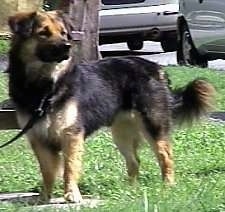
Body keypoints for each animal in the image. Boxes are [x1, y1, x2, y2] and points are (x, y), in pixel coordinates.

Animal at [7, 10, 214, 203]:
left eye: (63, 33)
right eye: (43, 33)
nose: (67, 46)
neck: (44, 86)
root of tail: (156, 68)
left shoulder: (70, 134)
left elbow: (70, 167)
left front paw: (72, 194)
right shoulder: (39, 138)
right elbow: (47, 171)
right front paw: (44, 196)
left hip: (152, 125)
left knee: (166, 157)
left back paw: (168, 186)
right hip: (121, 132)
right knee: (134, 162)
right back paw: (131, 190)